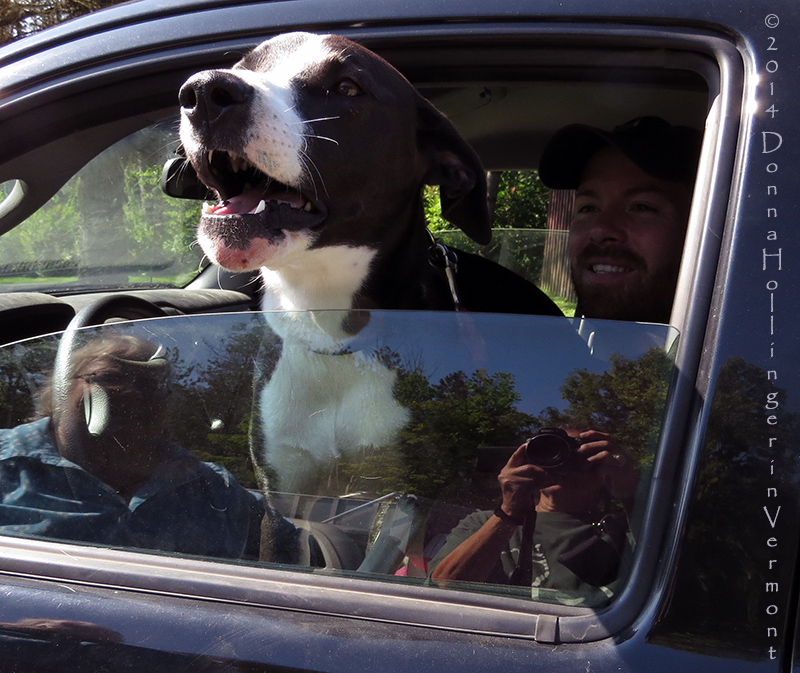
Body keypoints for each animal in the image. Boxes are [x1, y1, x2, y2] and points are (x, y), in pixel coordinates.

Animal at [177, 31, 560, 490]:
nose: (204, 91)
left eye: (346, 88)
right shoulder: (283, 481)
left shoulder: (400, 488)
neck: (330, 330)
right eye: (243, 66)